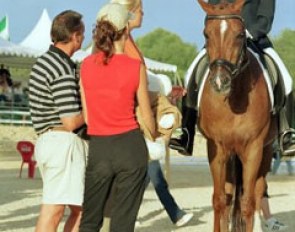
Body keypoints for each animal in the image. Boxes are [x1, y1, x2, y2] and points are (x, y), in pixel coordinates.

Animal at [197, 0, 278, 232]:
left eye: (241, 35)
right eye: (206, 34)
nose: (219, 82)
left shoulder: (253, 149)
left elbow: (248, 202)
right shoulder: (216, 148)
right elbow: (219, 200)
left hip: (264, 153)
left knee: (257, 192)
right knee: (227, 197)